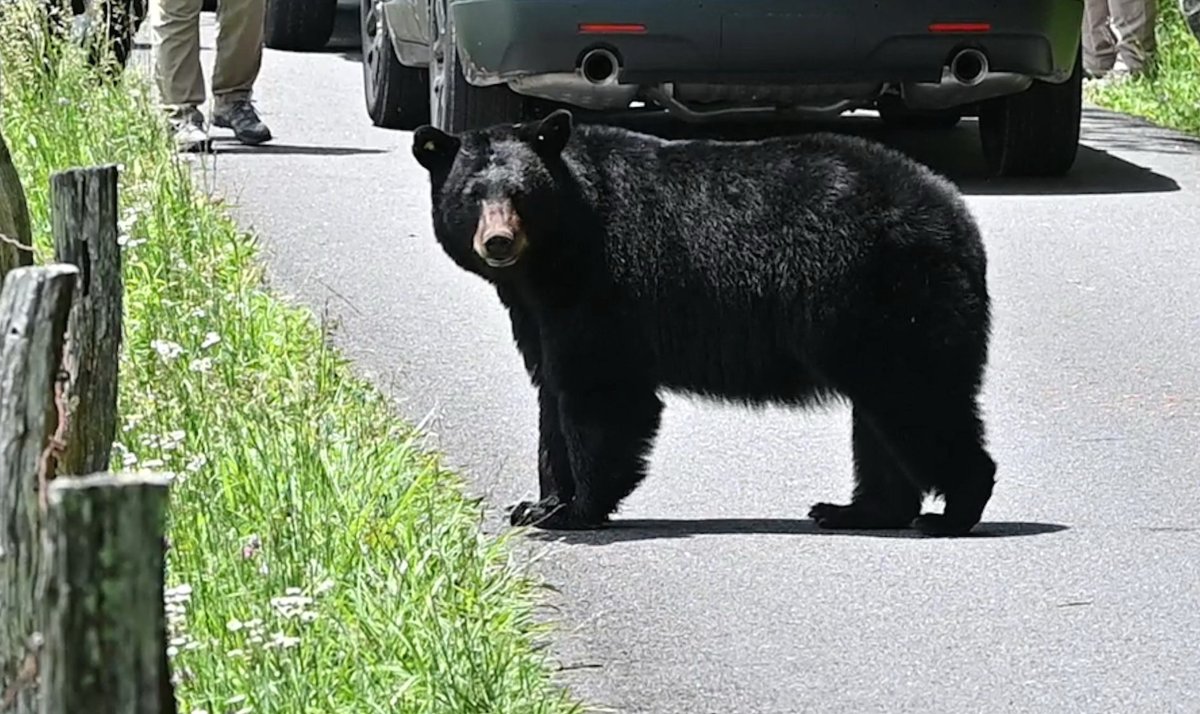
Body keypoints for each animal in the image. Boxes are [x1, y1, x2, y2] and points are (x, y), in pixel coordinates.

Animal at [417, 109, 998, 540]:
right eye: (472, 195)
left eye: (521, 193)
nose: (498, 242)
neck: (554, 256)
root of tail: (957, 215)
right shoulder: (538, 310)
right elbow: (550, 393)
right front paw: (537, 505)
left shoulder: (604, 287)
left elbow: (600, 392)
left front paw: (578, 509)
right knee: (882, 418)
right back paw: (855, 510)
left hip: (890, 299)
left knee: (918, 399)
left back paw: (951, 511)